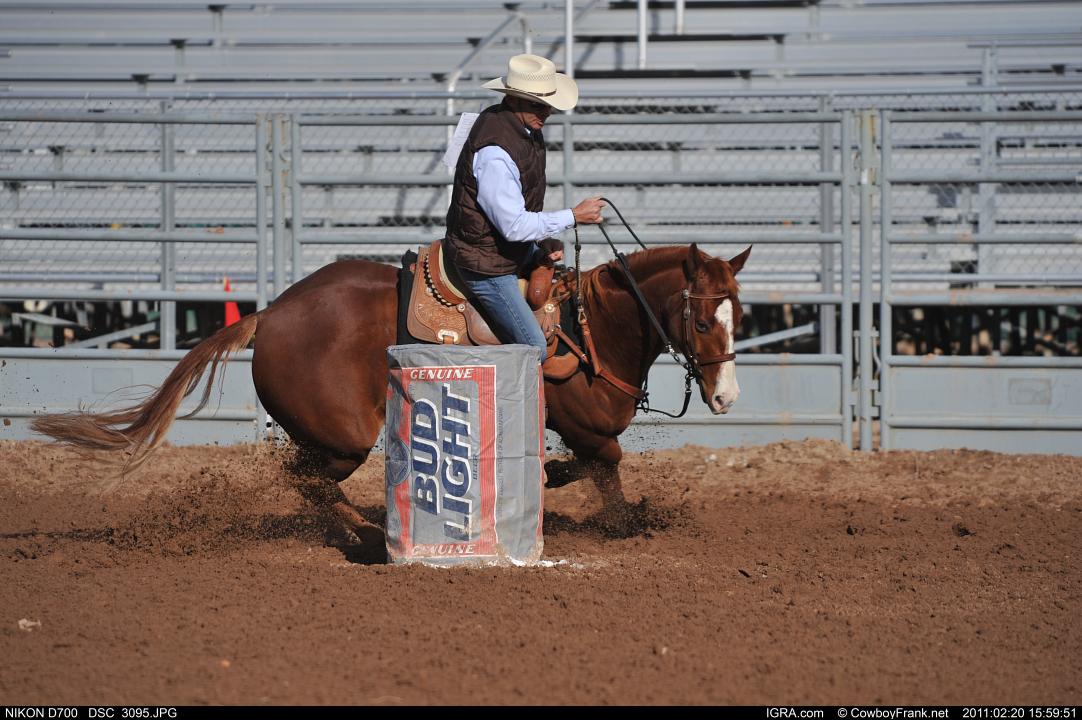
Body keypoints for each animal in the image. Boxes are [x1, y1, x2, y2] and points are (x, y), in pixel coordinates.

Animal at [32, 242, 750, 539]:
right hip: (346, 434)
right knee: (306, 479)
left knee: (304, 478)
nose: (726, 400)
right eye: (700, 318)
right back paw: (365, 531)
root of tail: (270, 313)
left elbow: (592, 469)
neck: (592, 326)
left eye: (738, 313)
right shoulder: (586, 427)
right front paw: (626, 519)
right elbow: (609, 468)